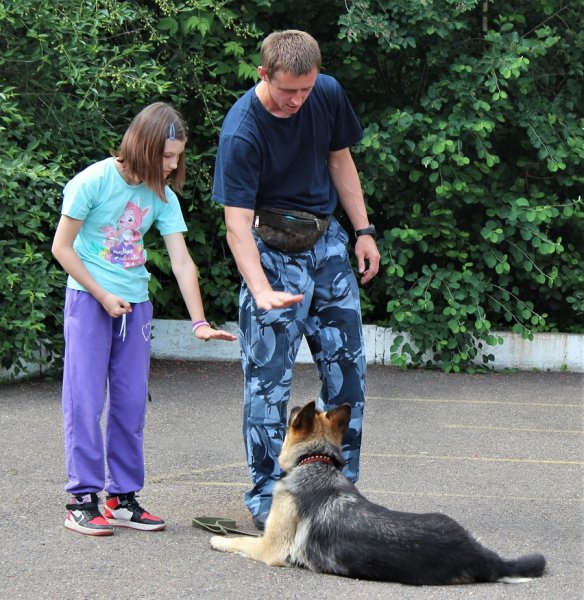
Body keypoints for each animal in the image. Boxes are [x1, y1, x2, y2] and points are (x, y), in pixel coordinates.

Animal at [211, 400, 548, 584]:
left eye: (293, 415)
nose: (288, 408)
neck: (315, 461)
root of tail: (481, 555)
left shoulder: (270, 548)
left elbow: (240, 541)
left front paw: (218, 539)